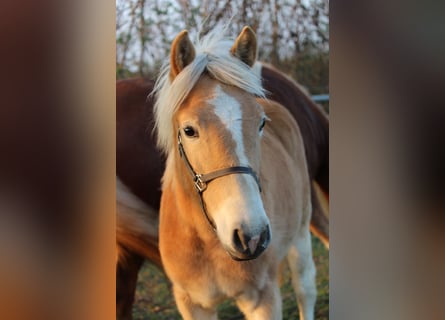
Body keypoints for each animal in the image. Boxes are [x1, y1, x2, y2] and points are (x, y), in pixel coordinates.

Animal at [116, 32, 328, 320]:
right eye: (189, 130)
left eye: (261, 123)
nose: (251, 236)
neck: (209, 243)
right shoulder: (193, 303)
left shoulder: (263, 301)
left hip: (301, 234)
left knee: (305, 289)